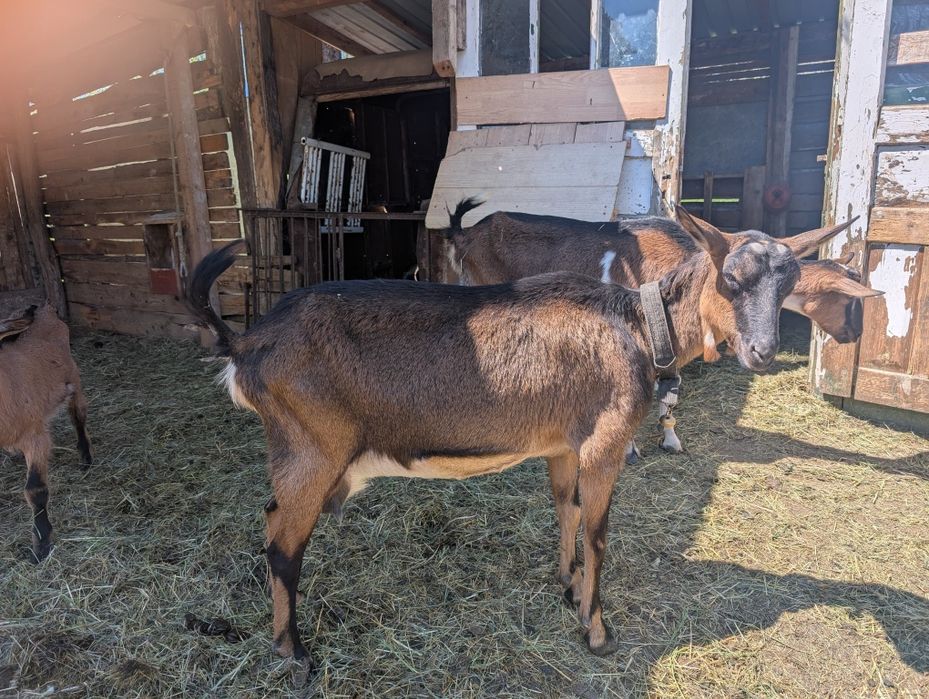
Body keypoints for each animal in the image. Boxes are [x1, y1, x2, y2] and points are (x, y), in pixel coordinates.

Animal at [0, 304, 92, 561]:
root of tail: (45, 309)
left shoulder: (35, 435)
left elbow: (36, 489)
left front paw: (41, 546)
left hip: (73, 378)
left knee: (78, 416)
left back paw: (86, 458)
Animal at [187, 207, 845, 664]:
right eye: (731, 277)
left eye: (788, 282)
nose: (762, 352)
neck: (634, 327)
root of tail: (247, 342)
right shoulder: (604, 442)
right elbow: (599, 534)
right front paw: (597, 630)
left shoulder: (564, 444)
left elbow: (566, 508)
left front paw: (566, 586)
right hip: (314, 450)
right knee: (284, 545)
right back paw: (293, 650)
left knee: (272, 519)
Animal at [443, 199, 880, 455]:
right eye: (731, 279)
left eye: (788, 285)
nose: (763, 351)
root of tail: (467, 233)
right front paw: (631, 447)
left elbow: (670, 393)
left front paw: (670, 438)